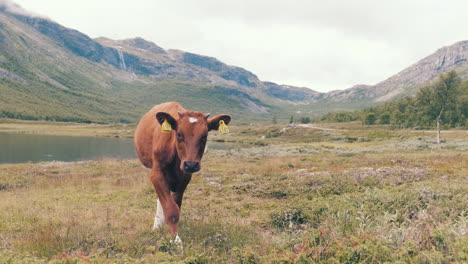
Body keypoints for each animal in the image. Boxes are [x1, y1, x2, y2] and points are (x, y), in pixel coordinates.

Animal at [134, 102, 231, 244]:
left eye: (204, 136)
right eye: (179, 134)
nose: (191, 164)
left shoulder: (185, 177)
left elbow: (176, 207)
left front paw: (173, 234)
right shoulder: (156, 173)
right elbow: (170, 209)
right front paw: (176, 241)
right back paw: (157, 225)